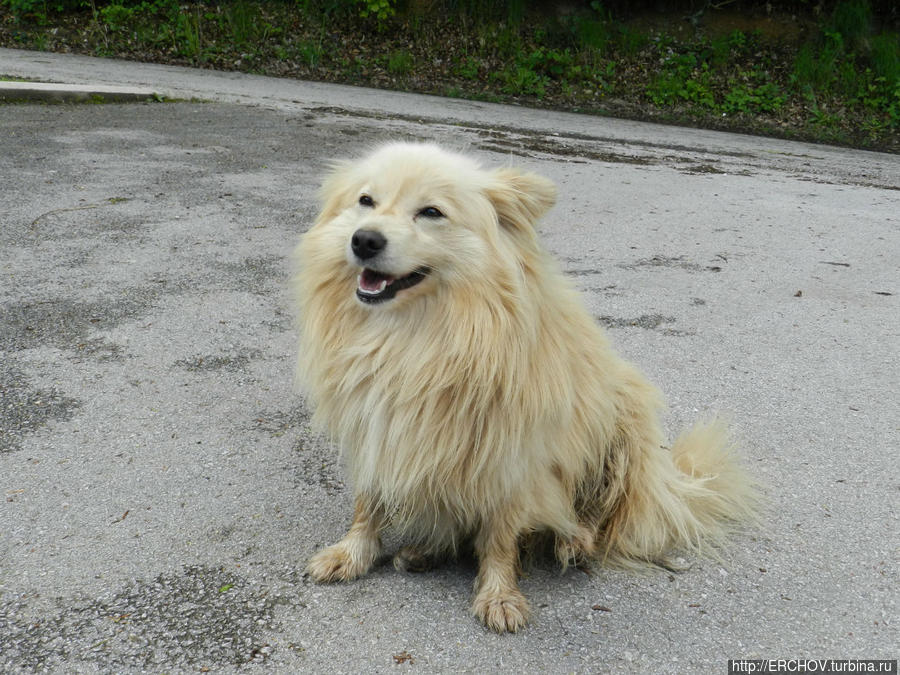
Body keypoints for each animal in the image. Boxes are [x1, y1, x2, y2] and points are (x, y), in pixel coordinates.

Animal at [296, 143, 760, 632]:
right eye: (366, 201)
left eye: (431, 212)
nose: (364, 240)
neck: (416, 338)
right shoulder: (374, 428)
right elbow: (368, 503)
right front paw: (353, 553)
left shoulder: (514, 456)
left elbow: (501, 536)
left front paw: (499, 593)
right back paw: (425, 551)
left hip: (623, 429)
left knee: (599, 519)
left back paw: (575, 542)